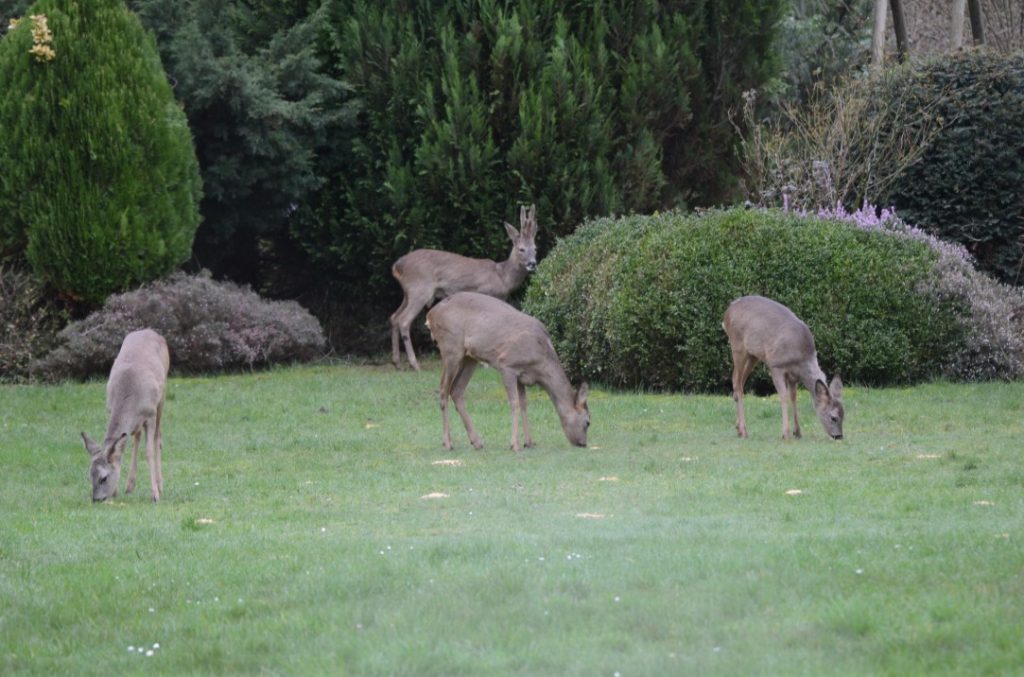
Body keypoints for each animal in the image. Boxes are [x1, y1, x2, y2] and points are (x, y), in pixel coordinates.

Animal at [81, 329, 170, 502]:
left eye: (103, 478)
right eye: (90, 476)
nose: (96, 499)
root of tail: (151, 331)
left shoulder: (150, 413)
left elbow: (149, 451)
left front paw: (155, 494)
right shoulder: (110, 408)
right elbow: (120, 449)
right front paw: (116, 491)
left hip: (162, 396)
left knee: (157, 437)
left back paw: (160, 484)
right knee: (136, 437)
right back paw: (130, 485)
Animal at [390, 204, 539, 371]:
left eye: (535, 248)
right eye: (521, 249)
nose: (532, 263)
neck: (502, 276)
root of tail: (397, 266)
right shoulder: (485, 293)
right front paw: (484, 363)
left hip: (408, 292)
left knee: (394, 317)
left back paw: (397, 363)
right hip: (420, 290)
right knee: (403, 320)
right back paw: (415, 364)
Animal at [425, 291, 589, 451]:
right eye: (588, 422)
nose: (583, 443)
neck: (540, 362)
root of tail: (430, 315)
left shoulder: (522, 375)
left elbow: (524, 403)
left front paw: (529, 442)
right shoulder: (507, 364)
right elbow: (514, 403)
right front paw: (514, 444)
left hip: (469, 357)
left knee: (456, 390)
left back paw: (476, 442)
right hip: (450, 347)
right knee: (443, 389)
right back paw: (448, 443)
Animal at [722, 295, 844, 440]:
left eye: (844, 414)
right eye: (833, 417)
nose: (839, 436)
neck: (801, 360)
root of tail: (727, 312)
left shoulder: (793, 376)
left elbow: (793, 397)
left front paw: (798, 432)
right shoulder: (776, 366)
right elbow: (783, 396)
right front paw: (785, 433)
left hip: (753, 355)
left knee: (737, 380)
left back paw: (738, 428)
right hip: (738, 345)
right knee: (737, 383)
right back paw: (744, 431)